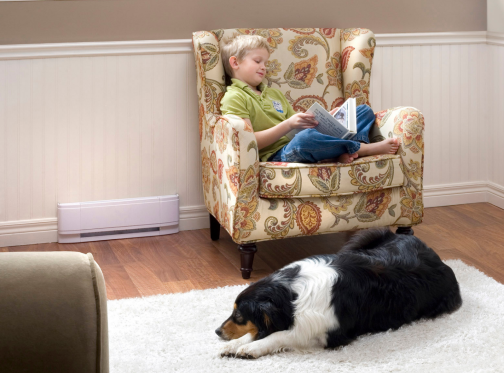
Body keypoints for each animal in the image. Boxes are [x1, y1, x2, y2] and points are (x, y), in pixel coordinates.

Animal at [215, 227, 462, 358]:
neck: (291, 295)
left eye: (239, 315)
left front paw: (250, 348)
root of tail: (440, 260)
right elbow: (261, 331)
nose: (217, 331)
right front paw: (234, 345)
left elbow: (279, 335)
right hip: (368, 236)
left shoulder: (325, 332)